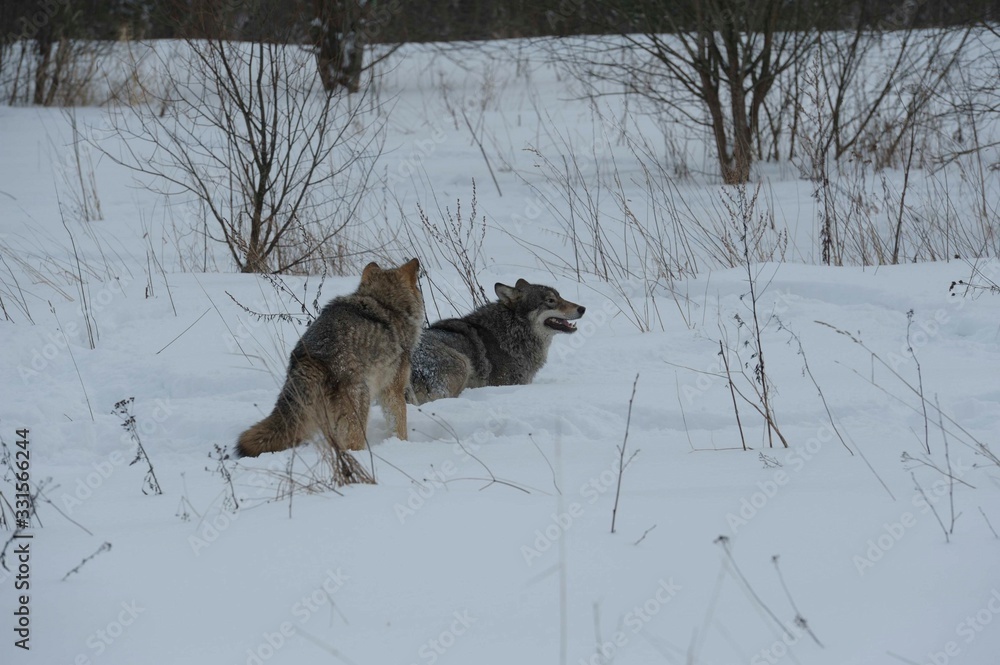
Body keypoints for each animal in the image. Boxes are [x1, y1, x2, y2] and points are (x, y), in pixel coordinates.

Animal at [236, 258, 424, 457]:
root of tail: (312, 356)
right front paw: (402, 445)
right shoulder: (394, 390)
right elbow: (400, 427)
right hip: (360, 405)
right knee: (353, 445)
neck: (385, 304)